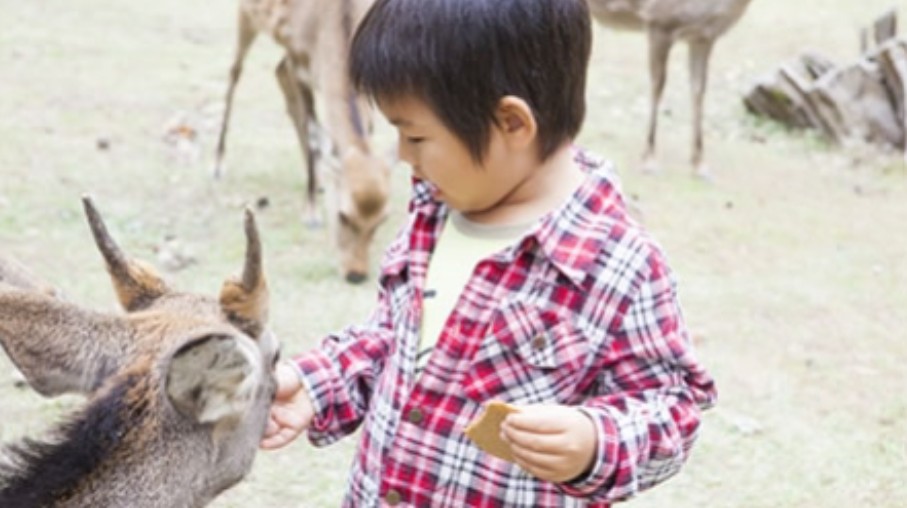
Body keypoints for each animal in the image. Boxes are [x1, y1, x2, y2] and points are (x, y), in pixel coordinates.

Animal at [213, 0, 392, 284]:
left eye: (382, 219)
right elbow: (312, 134)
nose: (356, 275)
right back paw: (218, 163)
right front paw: (311, 214)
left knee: (278, 71)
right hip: (245, 16)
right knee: (235, 72)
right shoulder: (299, 60)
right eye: (342, 215)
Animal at [588, 0, 754, 178]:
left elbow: (698, 90)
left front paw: (700, 165)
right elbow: (658, 87)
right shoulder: (659, 22)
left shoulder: (703, 38)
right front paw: (649, 160)